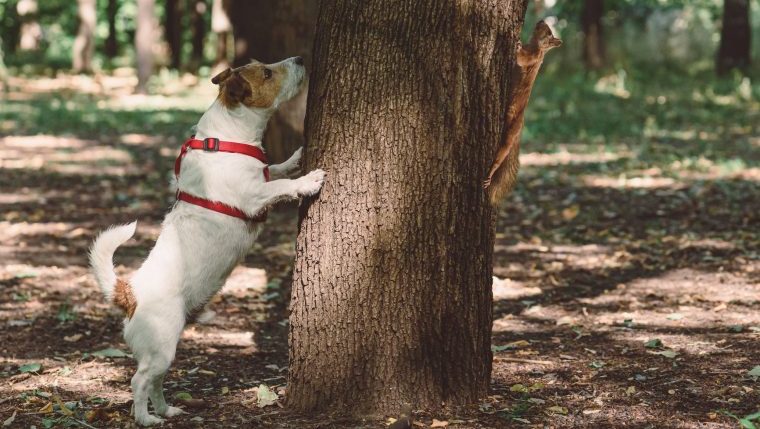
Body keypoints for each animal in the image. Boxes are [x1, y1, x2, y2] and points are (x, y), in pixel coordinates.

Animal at [90, 56, 326, 424]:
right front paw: (309, 179)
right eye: (267, 72)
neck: (225, 140)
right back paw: (145, 418)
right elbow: (280, 185)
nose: (300, 59)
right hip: (161, 345)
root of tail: (129, 293)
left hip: (165, 350)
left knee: (155, 381)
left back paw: (167, 409)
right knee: (139, 380)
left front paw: (295, 158)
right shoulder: (254, 197)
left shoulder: (261, 177)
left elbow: (275, 170)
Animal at [484, 20, 560, 205]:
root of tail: (521, 126)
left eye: (549, 33)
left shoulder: (533, 57)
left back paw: (490, 174)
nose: (541, 20)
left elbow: (522, 59)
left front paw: (516, 45)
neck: (534, 45)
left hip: (510, 134)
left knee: (501, 153)